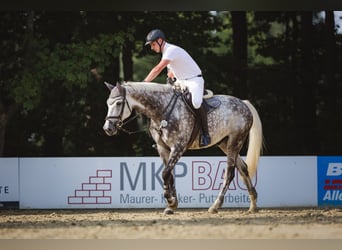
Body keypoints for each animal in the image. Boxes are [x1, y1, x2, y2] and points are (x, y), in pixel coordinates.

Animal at [103, 81, 264, 214]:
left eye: (118, 103)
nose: (108, 128)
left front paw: (170, 201)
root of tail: (243, 103)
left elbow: (165, 173)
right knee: (243, 168)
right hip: (225, 143)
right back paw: (253, 205)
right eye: (108, 103)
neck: (161, 110)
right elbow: (169, 175)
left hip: (235, 142)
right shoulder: (163, 148)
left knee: (230, 174)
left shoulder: (178, 147)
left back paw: (215, 206)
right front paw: (172, 205)